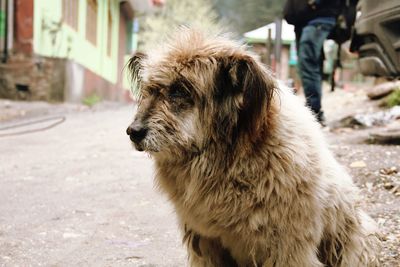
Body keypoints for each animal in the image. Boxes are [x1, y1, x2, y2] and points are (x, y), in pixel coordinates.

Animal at [126, 29, 380, 267]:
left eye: (180, 90)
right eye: (149, 90)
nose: (133, 131)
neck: (233, 158)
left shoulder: (289, 246)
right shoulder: (206, 240)